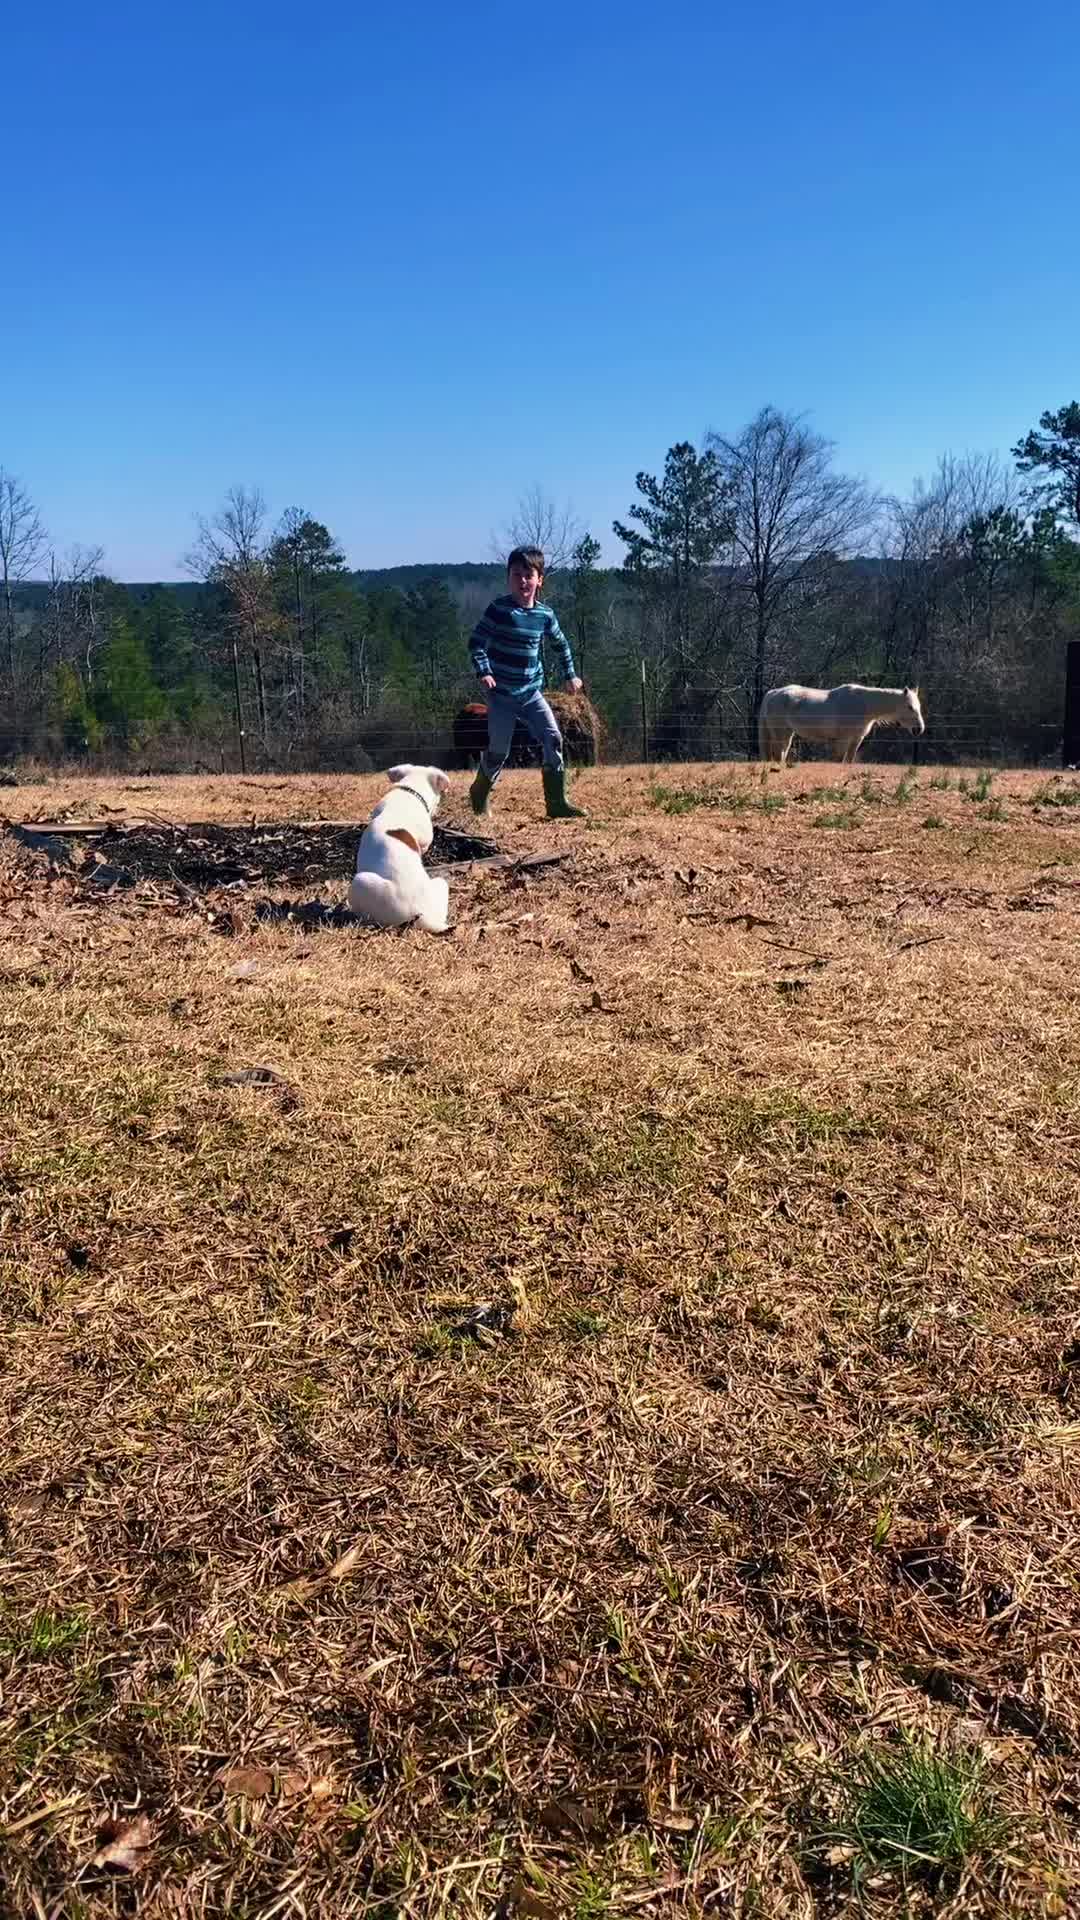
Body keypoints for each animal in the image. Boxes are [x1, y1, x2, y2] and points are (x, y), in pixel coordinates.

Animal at [758, 683, 925, 767]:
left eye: (918, 706)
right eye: (910, 707)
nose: (919, 729)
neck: (863, 705)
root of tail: (772, 693)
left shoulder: (856, 739)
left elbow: (848, 760)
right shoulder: (843, 740)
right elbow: (839, 760)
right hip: (782, 735)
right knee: (779, 754)